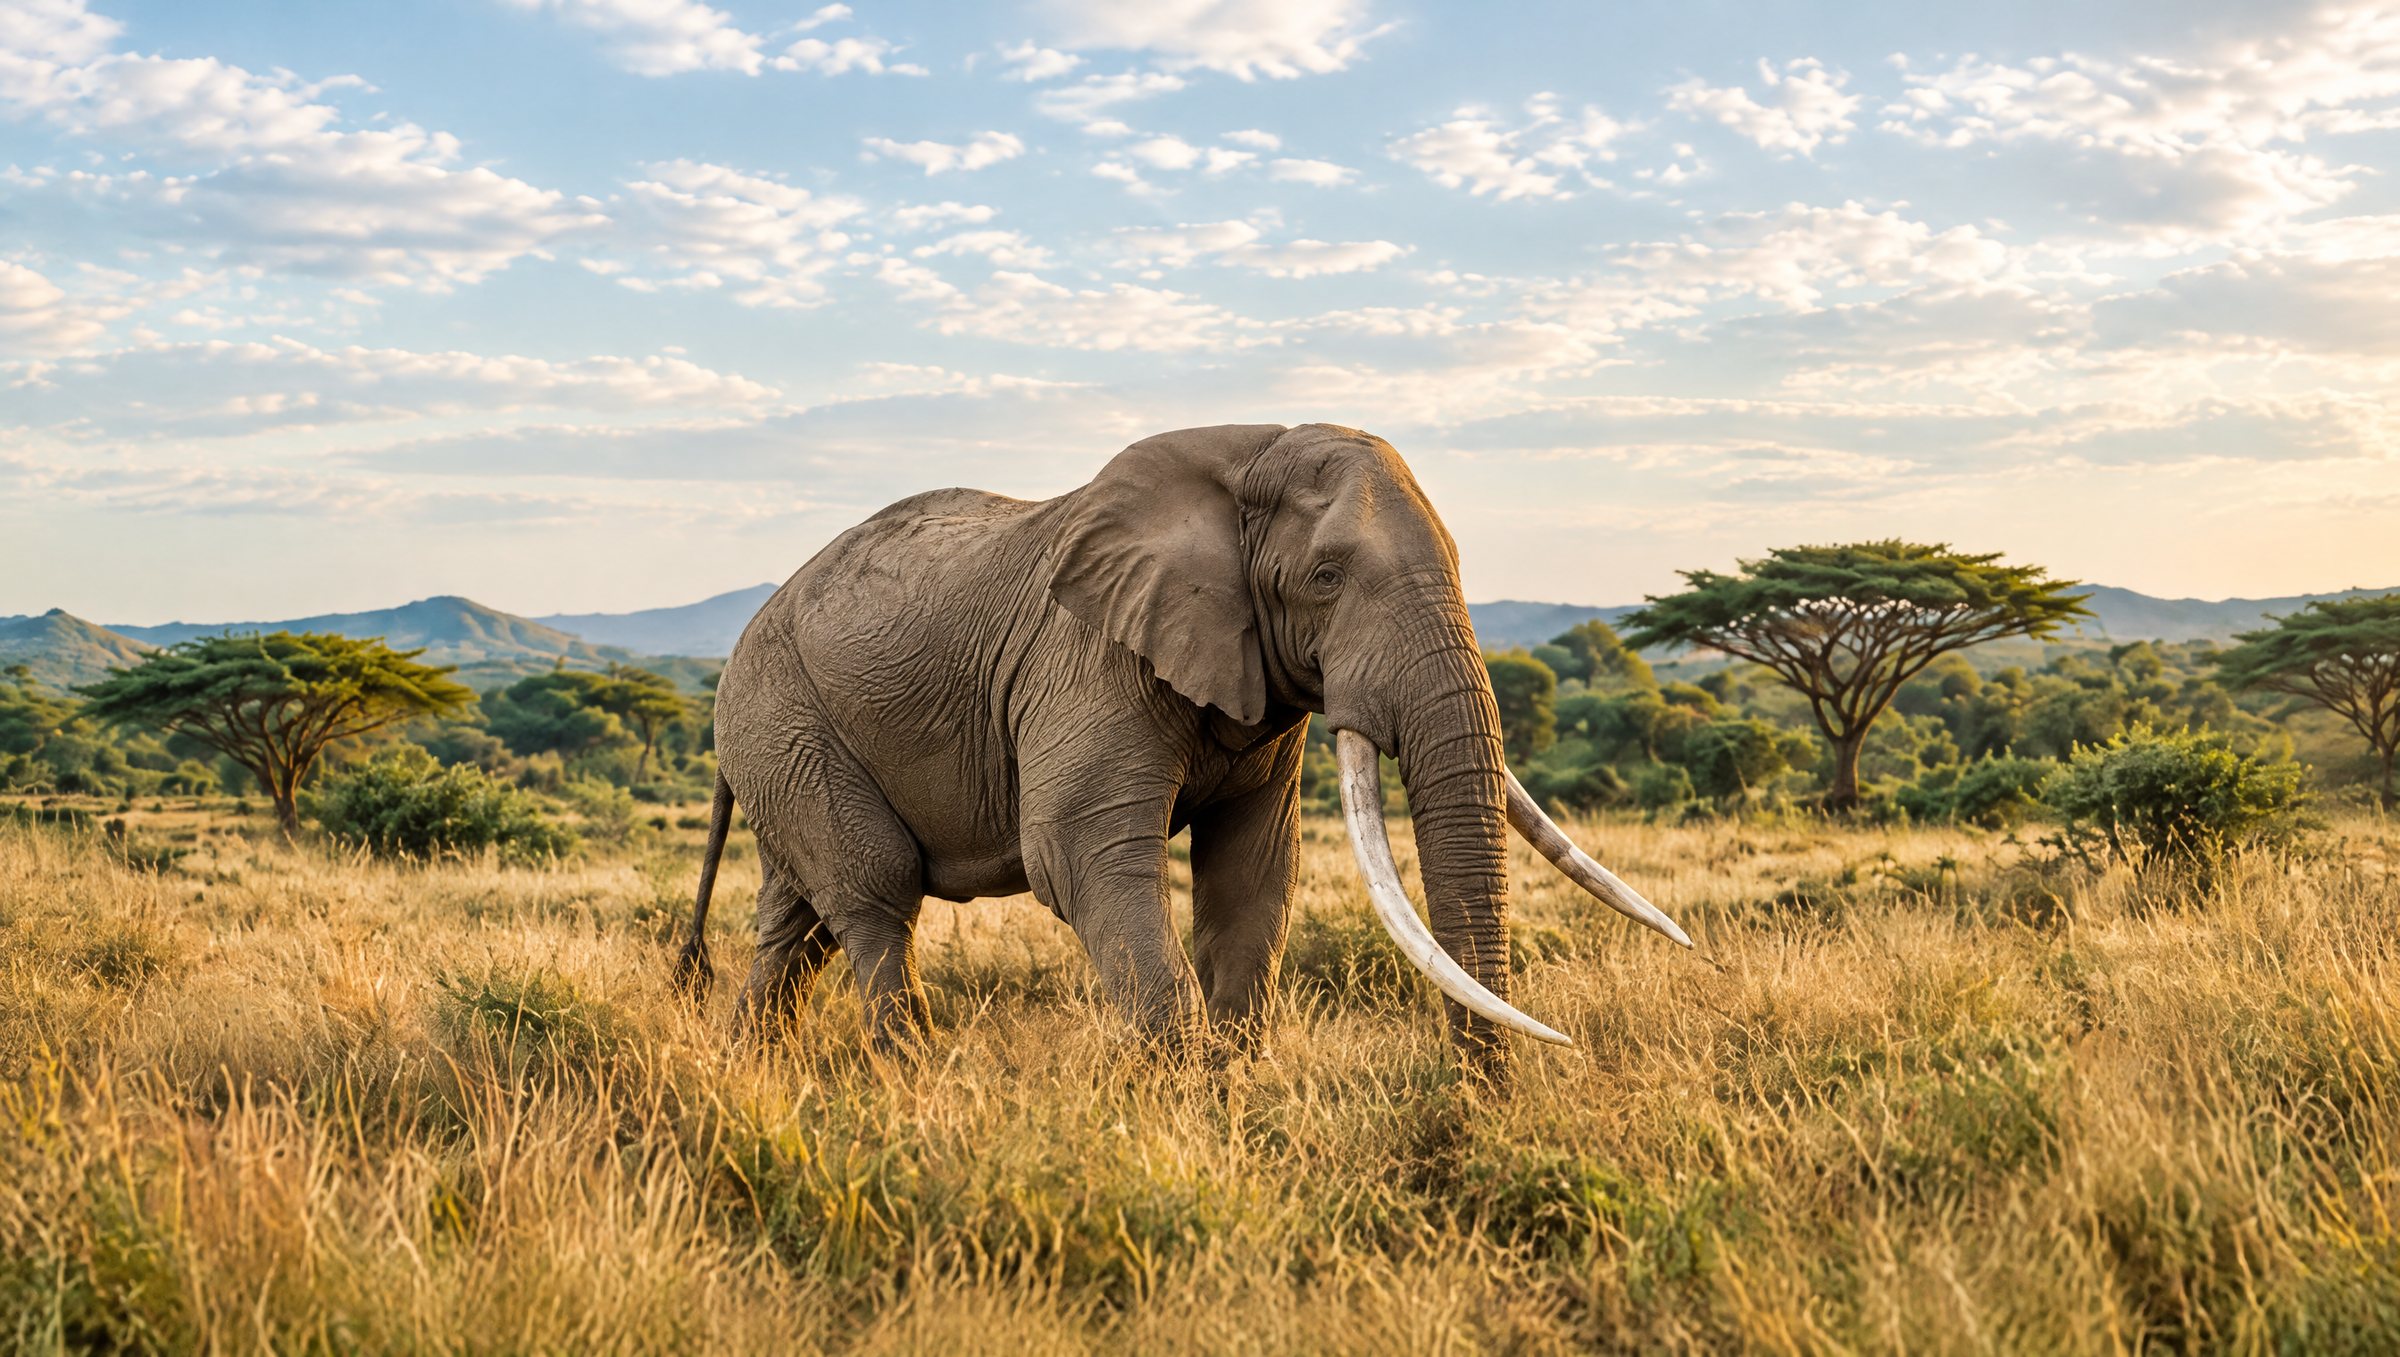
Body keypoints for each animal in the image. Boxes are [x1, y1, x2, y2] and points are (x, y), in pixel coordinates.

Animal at [675, 422, 1688, 1079]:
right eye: (1326, 577)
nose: (1483, 1106)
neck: (1246, 453)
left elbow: (1252, 869)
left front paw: (1232, 1097)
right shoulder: (1086, 656)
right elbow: (1079, 857)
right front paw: (1189, 1103)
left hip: (785, 739)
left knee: (797, 922)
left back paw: (744, 1071)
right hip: (785, 716)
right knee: (875, 895)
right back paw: (911, 1083)